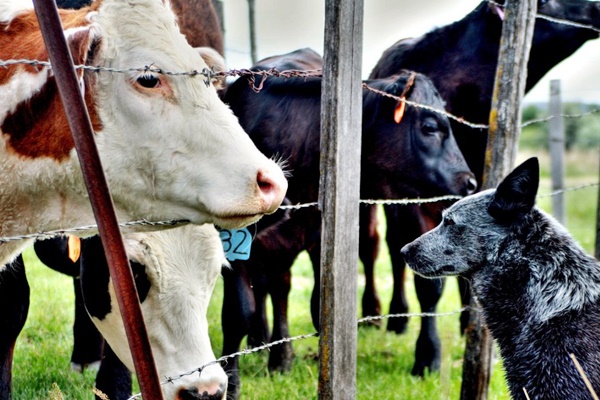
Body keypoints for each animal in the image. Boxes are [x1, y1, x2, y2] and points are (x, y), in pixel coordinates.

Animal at [218, 48, 476, 398]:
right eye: (430, 126)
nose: (470, 182)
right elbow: (238, 314)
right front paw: (230, 382)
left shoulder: (317, 236)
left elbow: (318, 308)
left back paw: (280, 357)